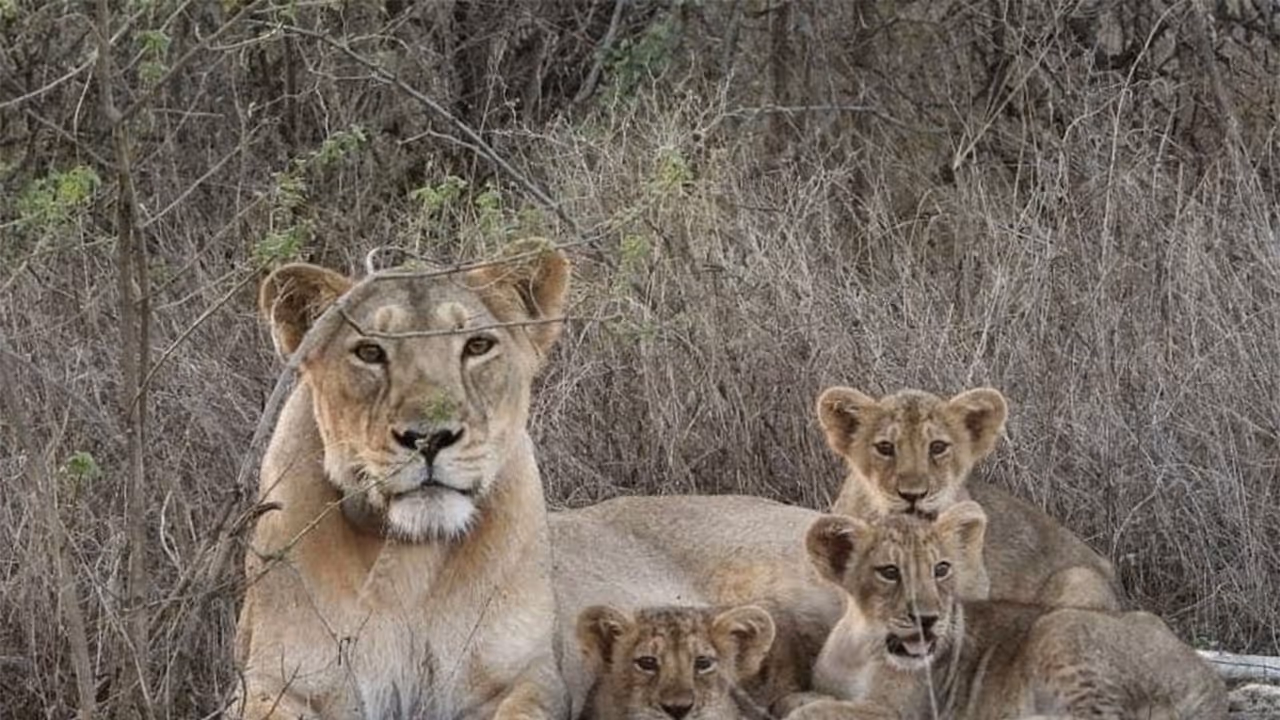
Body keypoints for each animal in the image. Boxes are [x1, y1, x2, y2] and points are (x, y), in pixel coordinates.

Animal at [233, 246, 570, 719]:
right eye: (370, 352)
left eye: (478, 346)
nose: (429, 438)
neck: (411, 555)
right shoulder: (275, 681)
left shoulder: (527, 676)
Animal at [794, 503, 1227, 720]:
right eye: (889, 572)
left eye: (941, 569)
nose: (928, 619)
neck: (862, 644)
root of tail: (1211, 686)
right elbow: (805, 699)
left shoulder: (902, 713)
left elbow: (816, 711)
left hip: (1060, 623)